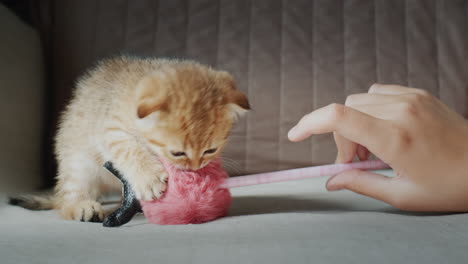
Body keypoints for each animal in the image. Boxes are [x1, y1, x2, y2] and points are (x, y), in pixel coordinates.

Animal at [10, 56, 249, 223]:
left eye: (210, 151)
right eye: (177, 153)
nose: (195, 167)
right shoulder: (110, 129)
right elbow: (130, 149)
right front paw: (149, 178)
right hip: (78, 161)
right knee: (67, 195)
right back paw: (81, 206)